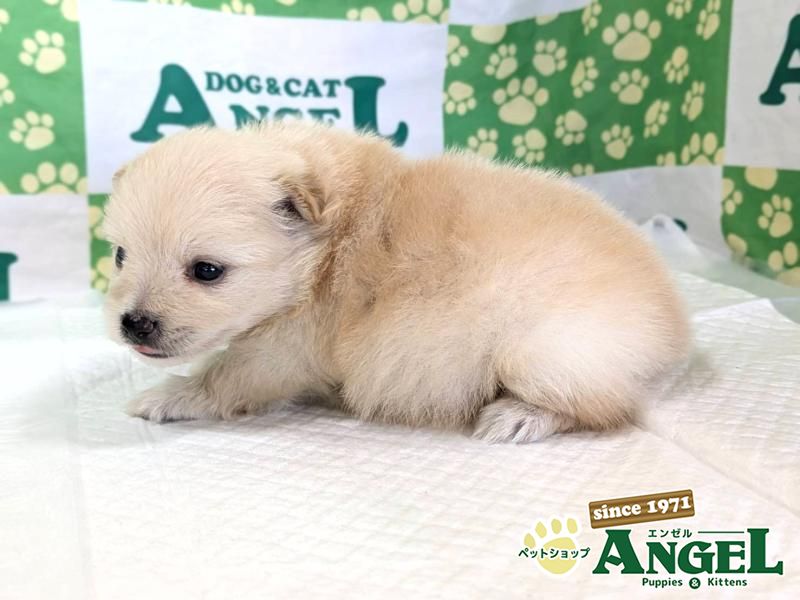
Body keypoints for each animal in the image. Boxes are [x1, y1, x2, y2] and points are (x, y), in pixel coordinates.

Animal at [103, 120, 690, 443]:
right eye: (119, 255)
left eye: (206, 271)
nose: (134, 323)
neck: (322, 252)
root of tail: (675, 327)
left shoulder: (281, 350)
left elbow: (222, 378)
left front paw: (165, 397)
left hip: (543, 352)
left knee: (606, 408)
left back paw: (519, 417)